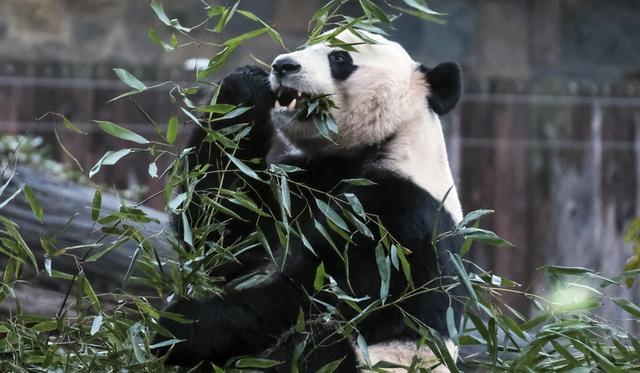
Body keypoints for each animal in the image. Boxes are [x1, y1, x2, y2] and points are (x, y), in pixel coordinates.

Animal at [155, 29, 464, 372]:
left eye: (339, 57)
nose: (282, 65)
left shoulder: (398, 220)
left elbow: (322, 294)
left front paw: (179, 324)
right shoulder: (305, 182)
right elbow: (224, 227)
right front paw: (247, 85)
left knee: (322, 345)